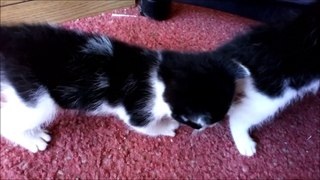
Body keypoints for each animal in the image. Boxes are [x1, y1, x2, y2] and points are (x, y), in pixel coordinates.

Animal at [0, 23, 246, 152]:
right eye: (200, 122)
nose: (212, 126)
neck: (161, 73)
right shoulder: (137, 109)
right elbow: (144, 126)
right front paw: (166, 126)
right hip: (38, 99)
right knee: (9, 119)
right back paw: (32, 139)